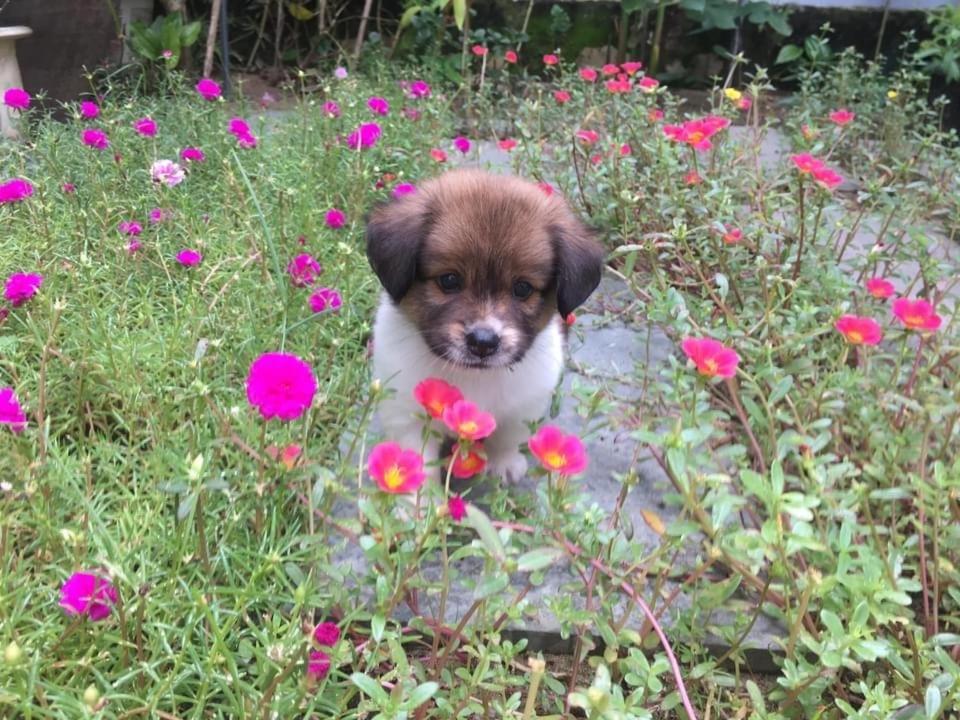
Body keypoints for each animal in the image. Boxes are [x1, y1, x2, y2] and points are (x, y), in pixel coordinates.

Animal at [364, 169, 604, 480]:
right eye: (449, 280)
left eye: (523, 288)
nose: (483, 342)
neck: (473, 376)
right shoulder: (407, 413)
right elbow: (417, 462)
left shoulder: (524, 404)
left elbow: (508, 436)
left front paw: (504, 465)